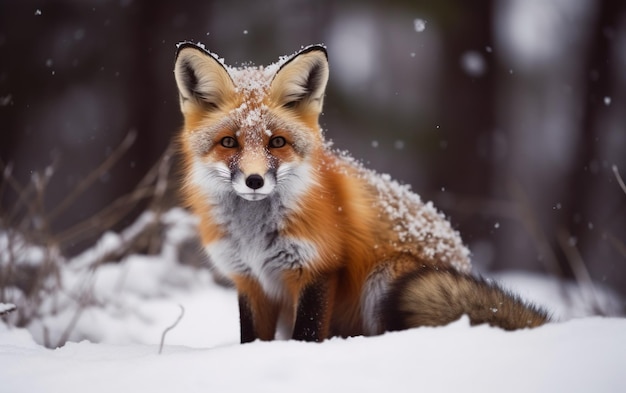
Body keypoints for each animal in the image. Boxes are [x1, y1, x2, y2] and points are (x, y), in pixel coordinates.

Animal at [172, 43, 544, 342]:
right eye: (228, 142)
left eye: (276, 142)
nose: (254, 181)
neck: (254, 238)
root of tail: (462, 259)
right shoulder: (251, 282)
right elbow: (251, 340)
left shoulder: (318, 269)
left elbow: (307, 335)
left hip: (387, 282)